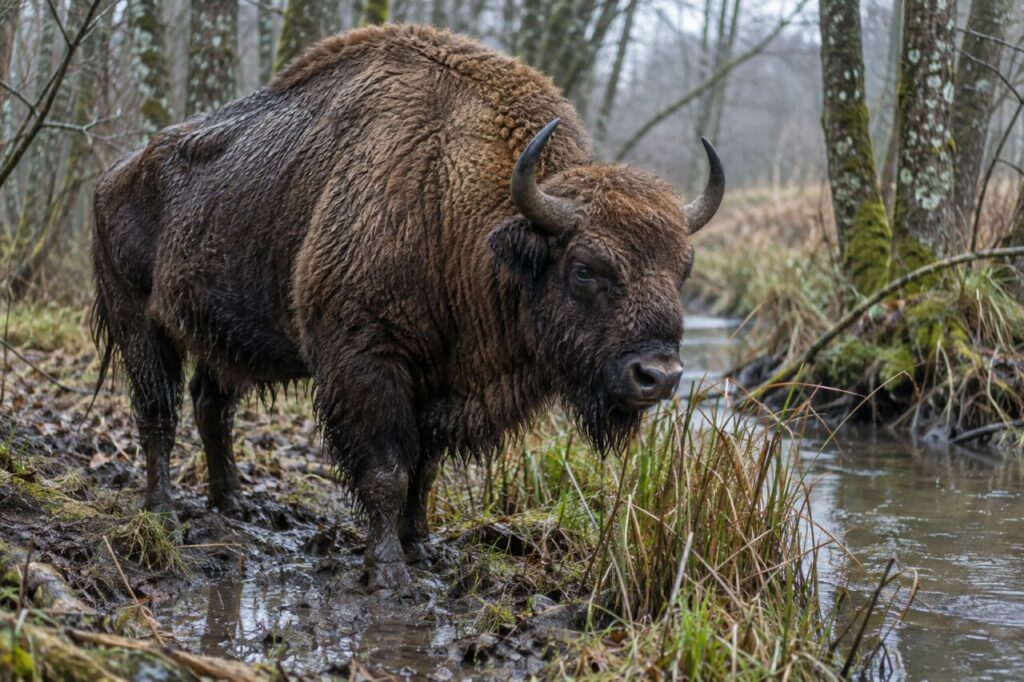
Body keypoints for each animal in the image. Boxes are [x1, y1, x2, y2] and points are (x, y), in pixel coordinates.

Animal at [92, 25, 723, 590]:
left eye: (683, 268)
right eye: (585, 269)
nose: (659, 375)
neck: (454, 207)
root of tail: (113, 176)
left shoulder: (438, 384)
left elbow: (424, 470)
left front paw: (421, 546)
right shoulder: (367, 364)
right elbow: (388, 473)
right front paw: (388, 570)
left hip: (227, 338)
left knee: (211, 407)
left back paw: (234, 505)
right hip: (138, 321)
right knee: (159, 412)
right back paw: (163, 511)